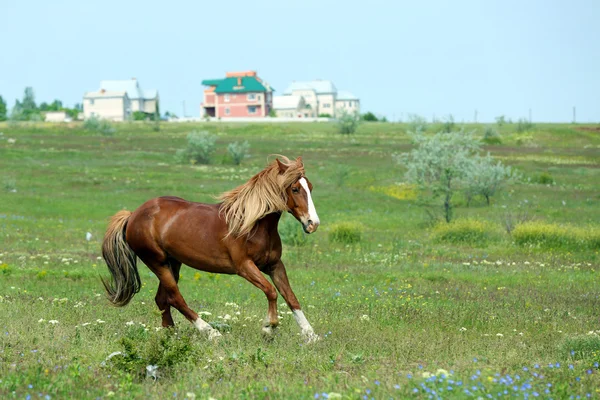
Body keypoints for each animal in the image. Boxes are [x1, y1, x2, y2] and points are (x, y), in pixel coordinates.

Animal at [101, 155, 322, 340]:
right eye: (295, 189)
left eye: (310, 187)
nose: (313, 223)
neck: (252, 225)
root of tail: (133, 215)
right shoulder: (244, 266)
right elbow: (271, 291)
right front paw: (269, 327)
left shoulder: (275, 265)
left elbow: (291, 297)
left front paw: (311, 335)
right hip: (157, 262)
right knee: (175, 298)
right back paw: (211, 332)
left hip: (173, 263)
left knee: (163, 299)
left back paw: (171, 334)